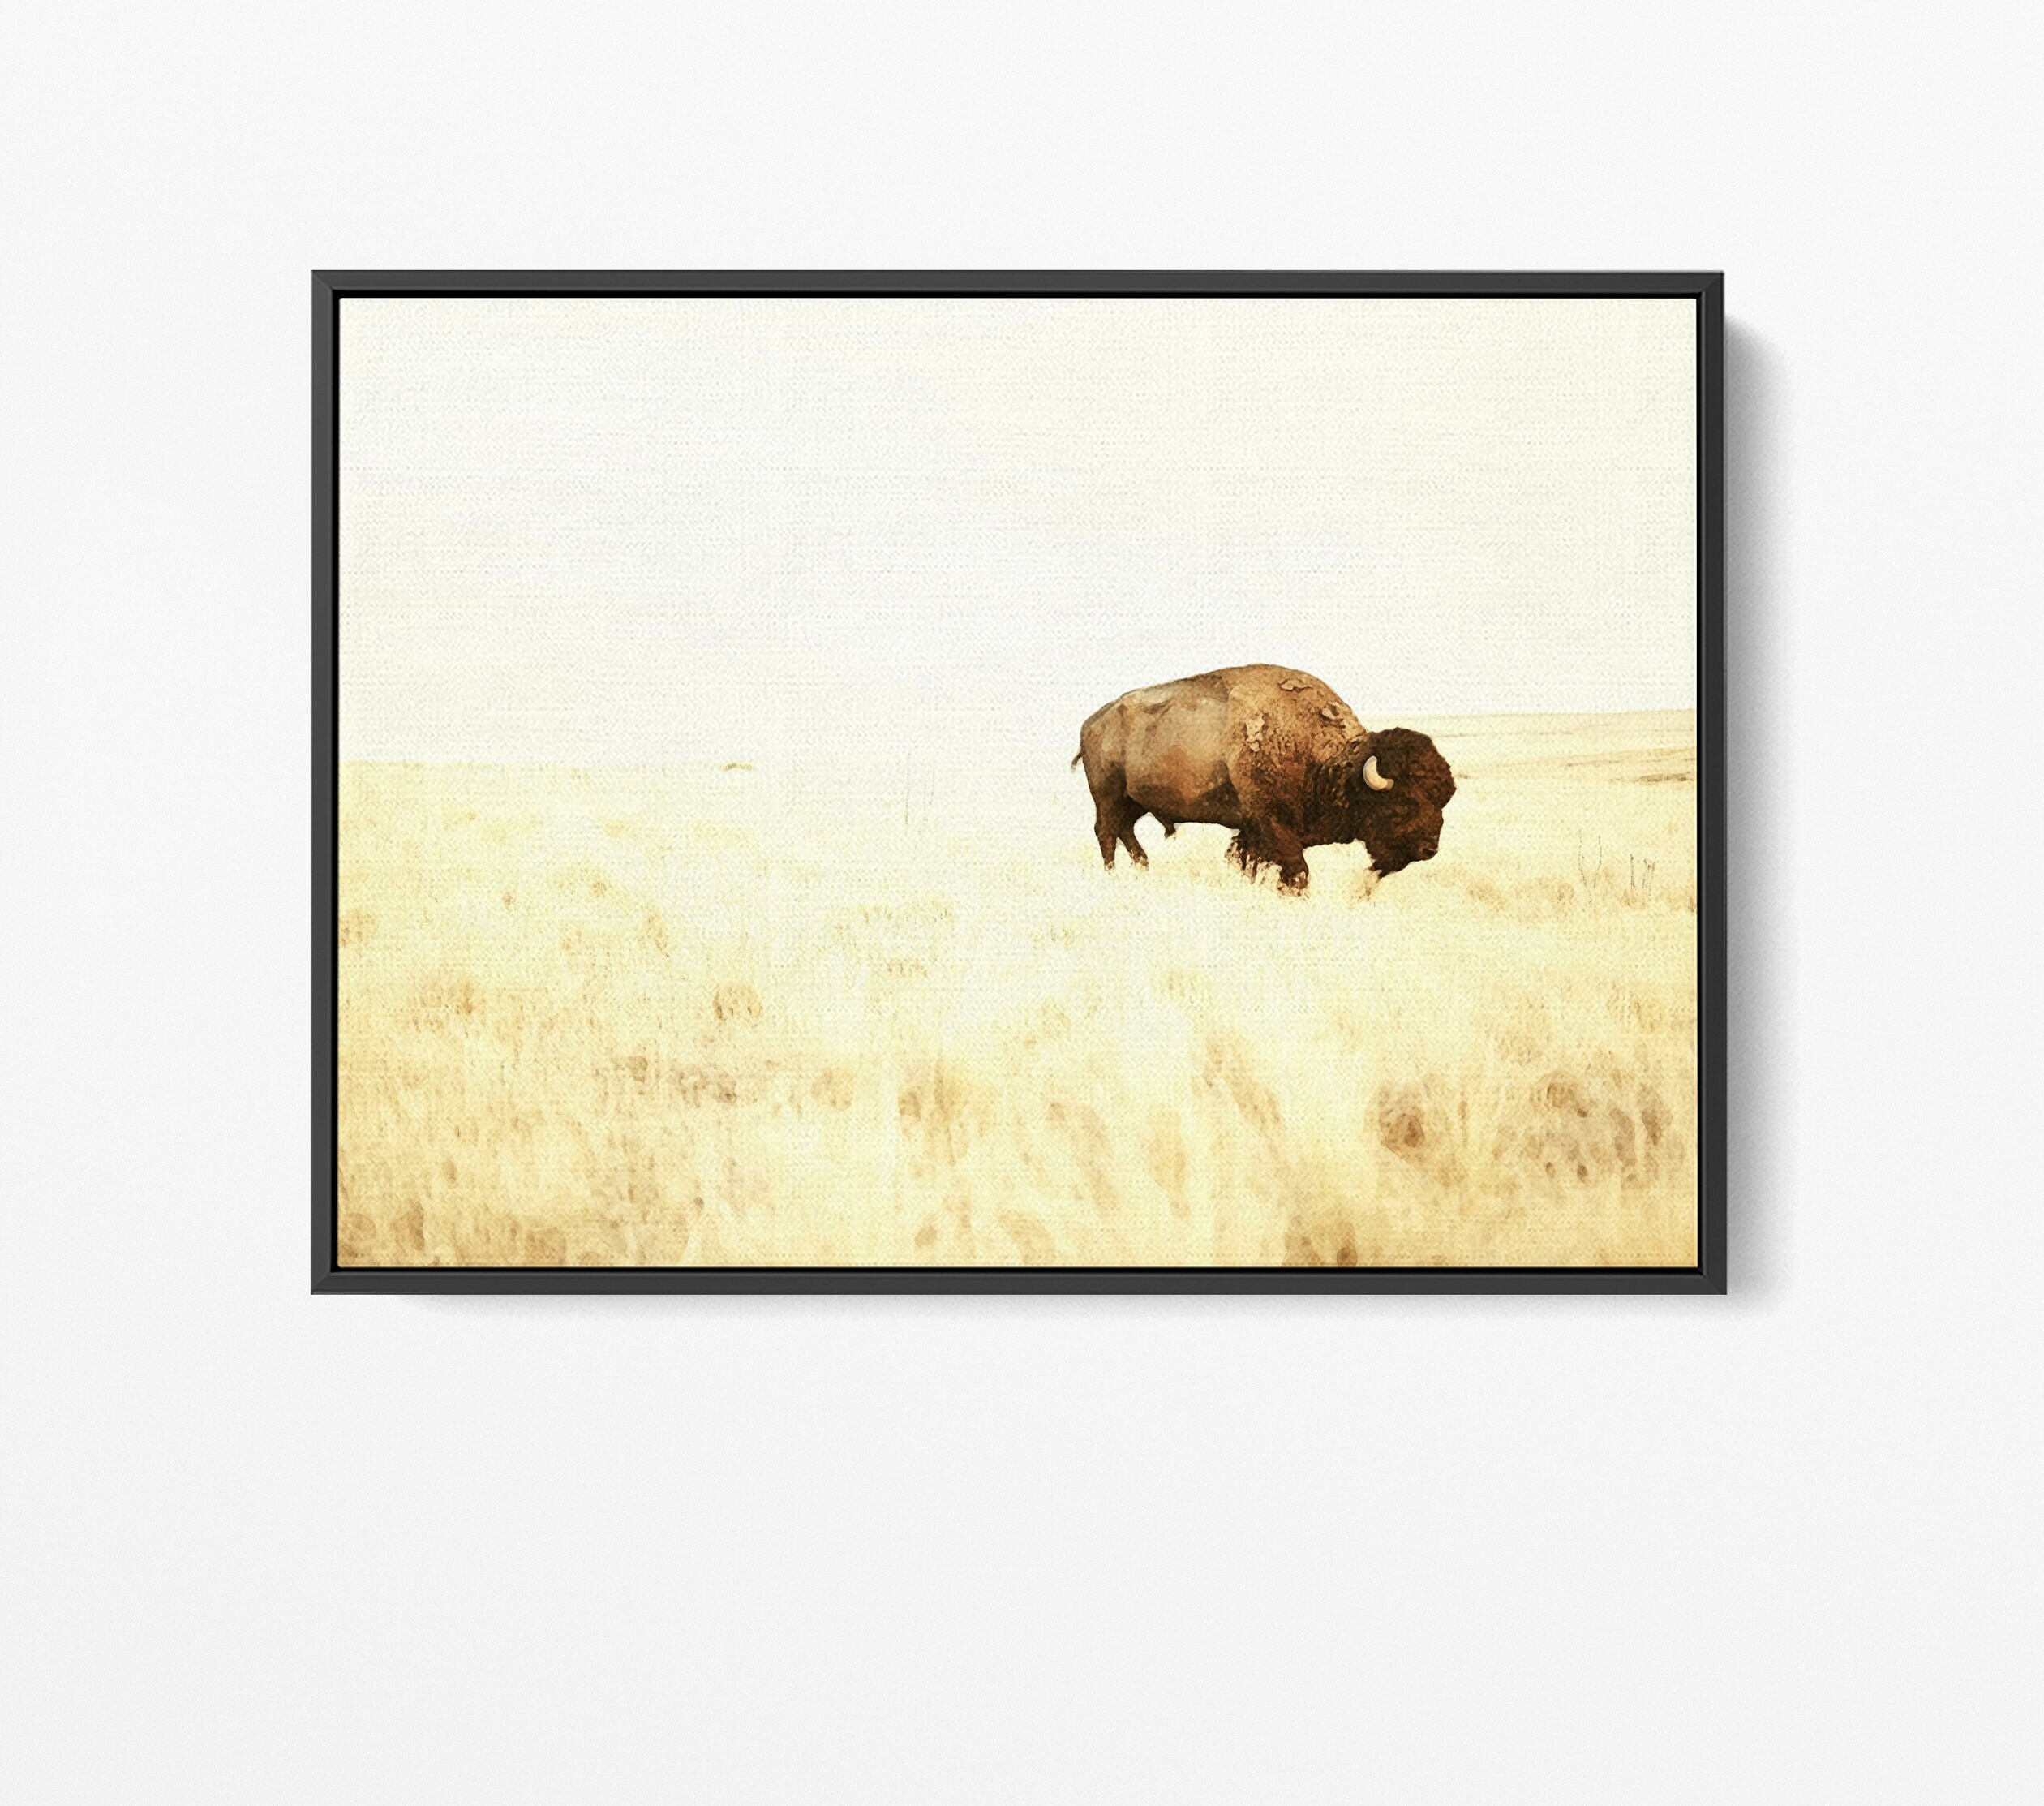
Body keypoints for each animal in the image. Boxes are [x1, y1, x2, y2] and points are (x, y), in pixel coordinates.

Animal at [1072, 665, 1455, 893]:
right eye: (1403, 802)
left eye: (1443, 799)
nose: (1429, 849)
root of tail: (1092, 722)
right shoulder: (1271, 823)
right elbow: (1297, 870)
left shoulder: (1254, 832)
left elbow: (1247, 861)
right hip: (1108, 796)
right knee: (1106, 832)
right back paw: (1113, 875)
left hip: (1135, 801)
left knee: (1125, 830)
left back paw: (1143, 868)